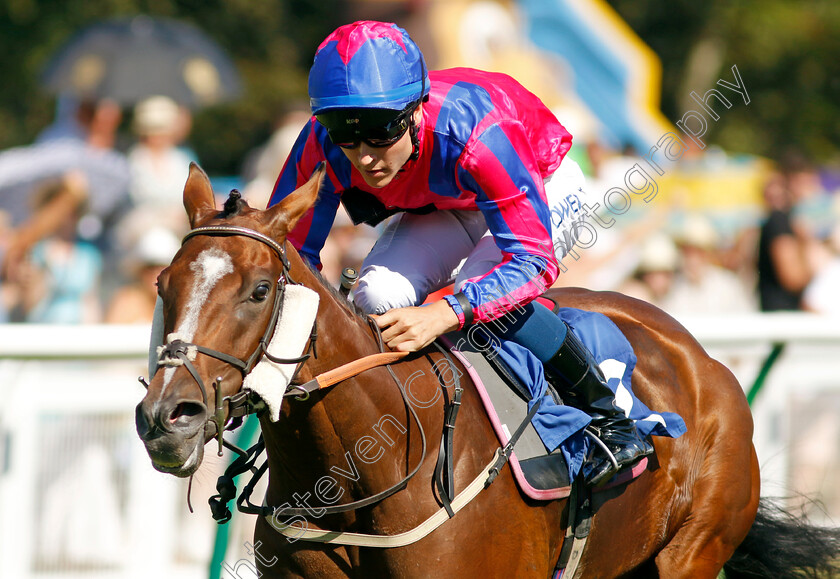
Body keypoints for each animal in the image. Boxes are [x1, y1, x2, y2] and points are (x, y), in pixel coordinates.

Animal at [135, 164, 836, 579]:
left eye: (258, 291)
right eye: (163, 285)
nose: (167, 417)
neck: (362, 470)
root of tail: (700, 357)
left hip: (693, 551)